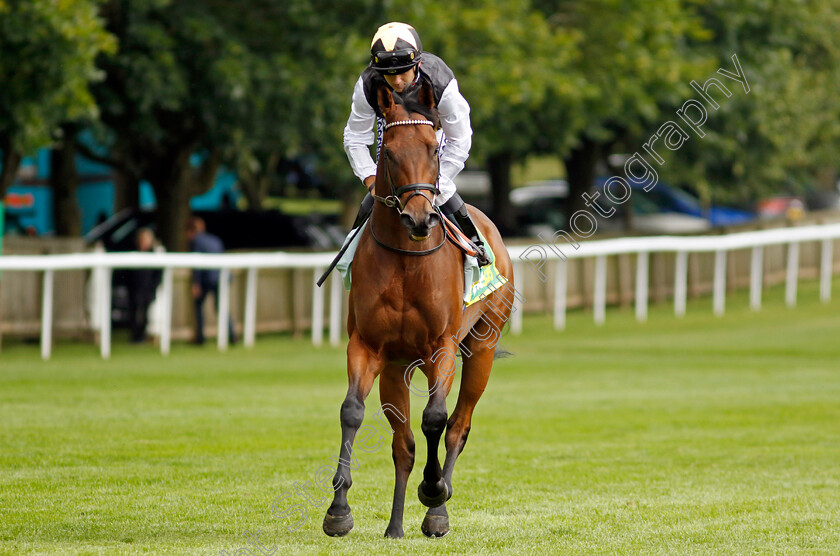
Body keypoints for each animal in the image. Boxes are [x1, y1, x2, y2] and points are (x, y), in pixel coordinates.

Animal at [324, 79, 516, 540]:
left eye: (432, 149)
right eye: (390, 152)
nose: (419, 218)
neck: (406, 262)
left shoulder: (440, 347)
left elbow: (436, 418)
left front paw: (433, 493)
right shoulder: (368, 347)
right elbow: (352, 412)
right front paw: (338, 510)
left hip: (482, 347)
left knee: (458, 425)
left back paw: (437, 509)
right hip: (397, 368)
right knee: (403, 445)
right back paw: (395, 526)